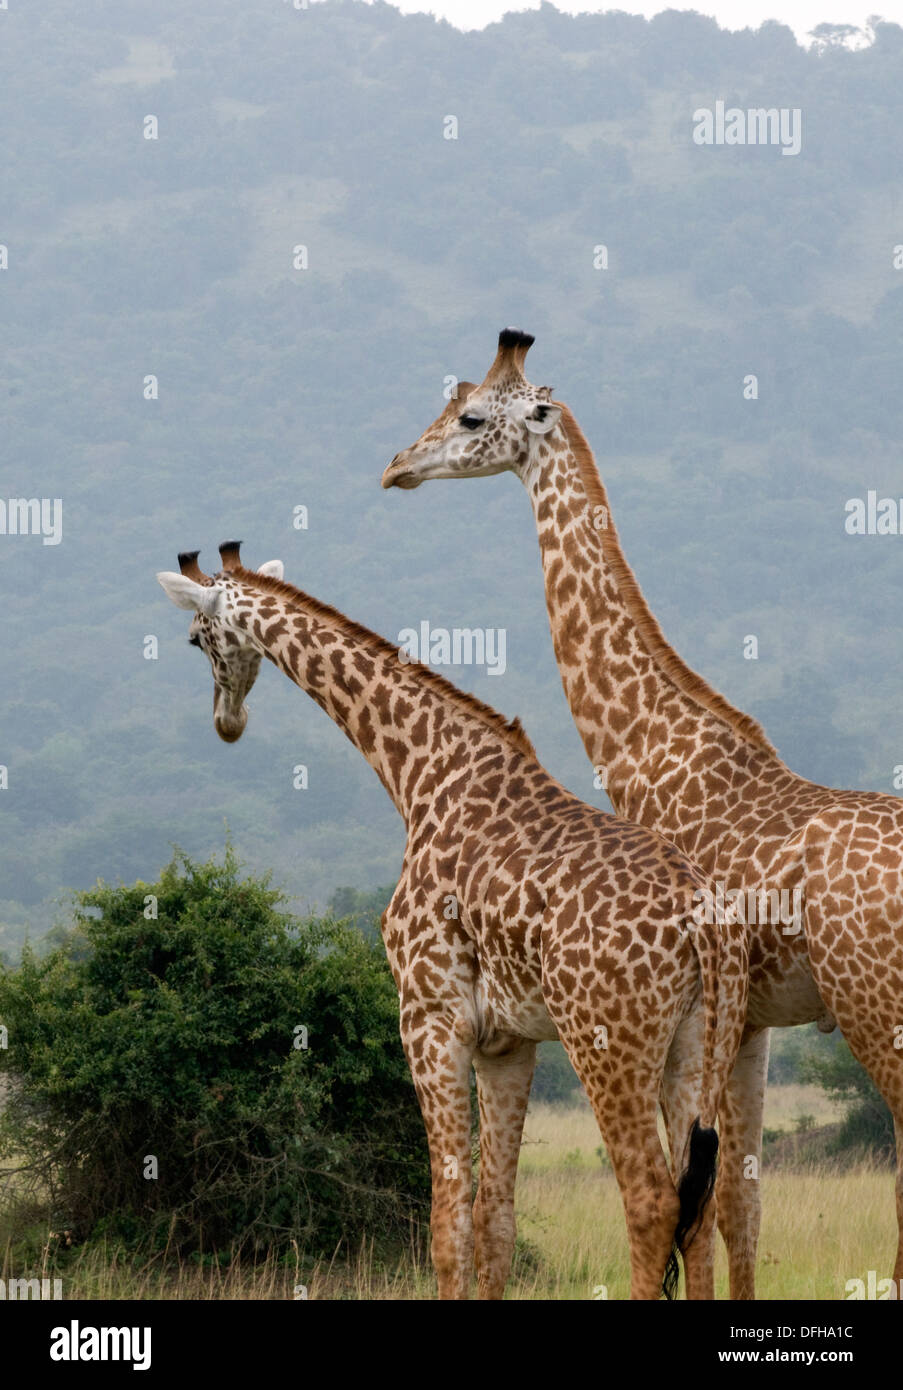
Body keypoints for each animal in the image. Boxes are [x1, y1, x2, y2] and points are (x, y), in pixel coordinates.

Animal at [157, 540, 748, 1300]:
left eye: (195, 637)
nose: (225, 722)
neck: (418, 773)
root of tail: (704, 923)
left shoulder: (430, 1017)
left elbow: (445, 1221)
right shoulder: (508, 1043)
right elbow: (494, 1220)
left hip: (608, 1042)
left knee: (650, 1203)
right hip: (700, 1046)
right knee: (700, 1213)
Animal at [382, 327, 903, 1299]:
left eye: (468, 415)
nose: (397, 467)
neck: (652, 753)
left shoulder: (710, 1012)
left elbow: (705, 1199)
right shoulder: (748, 1023)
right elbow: (738, 1205)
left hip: (868, 996)